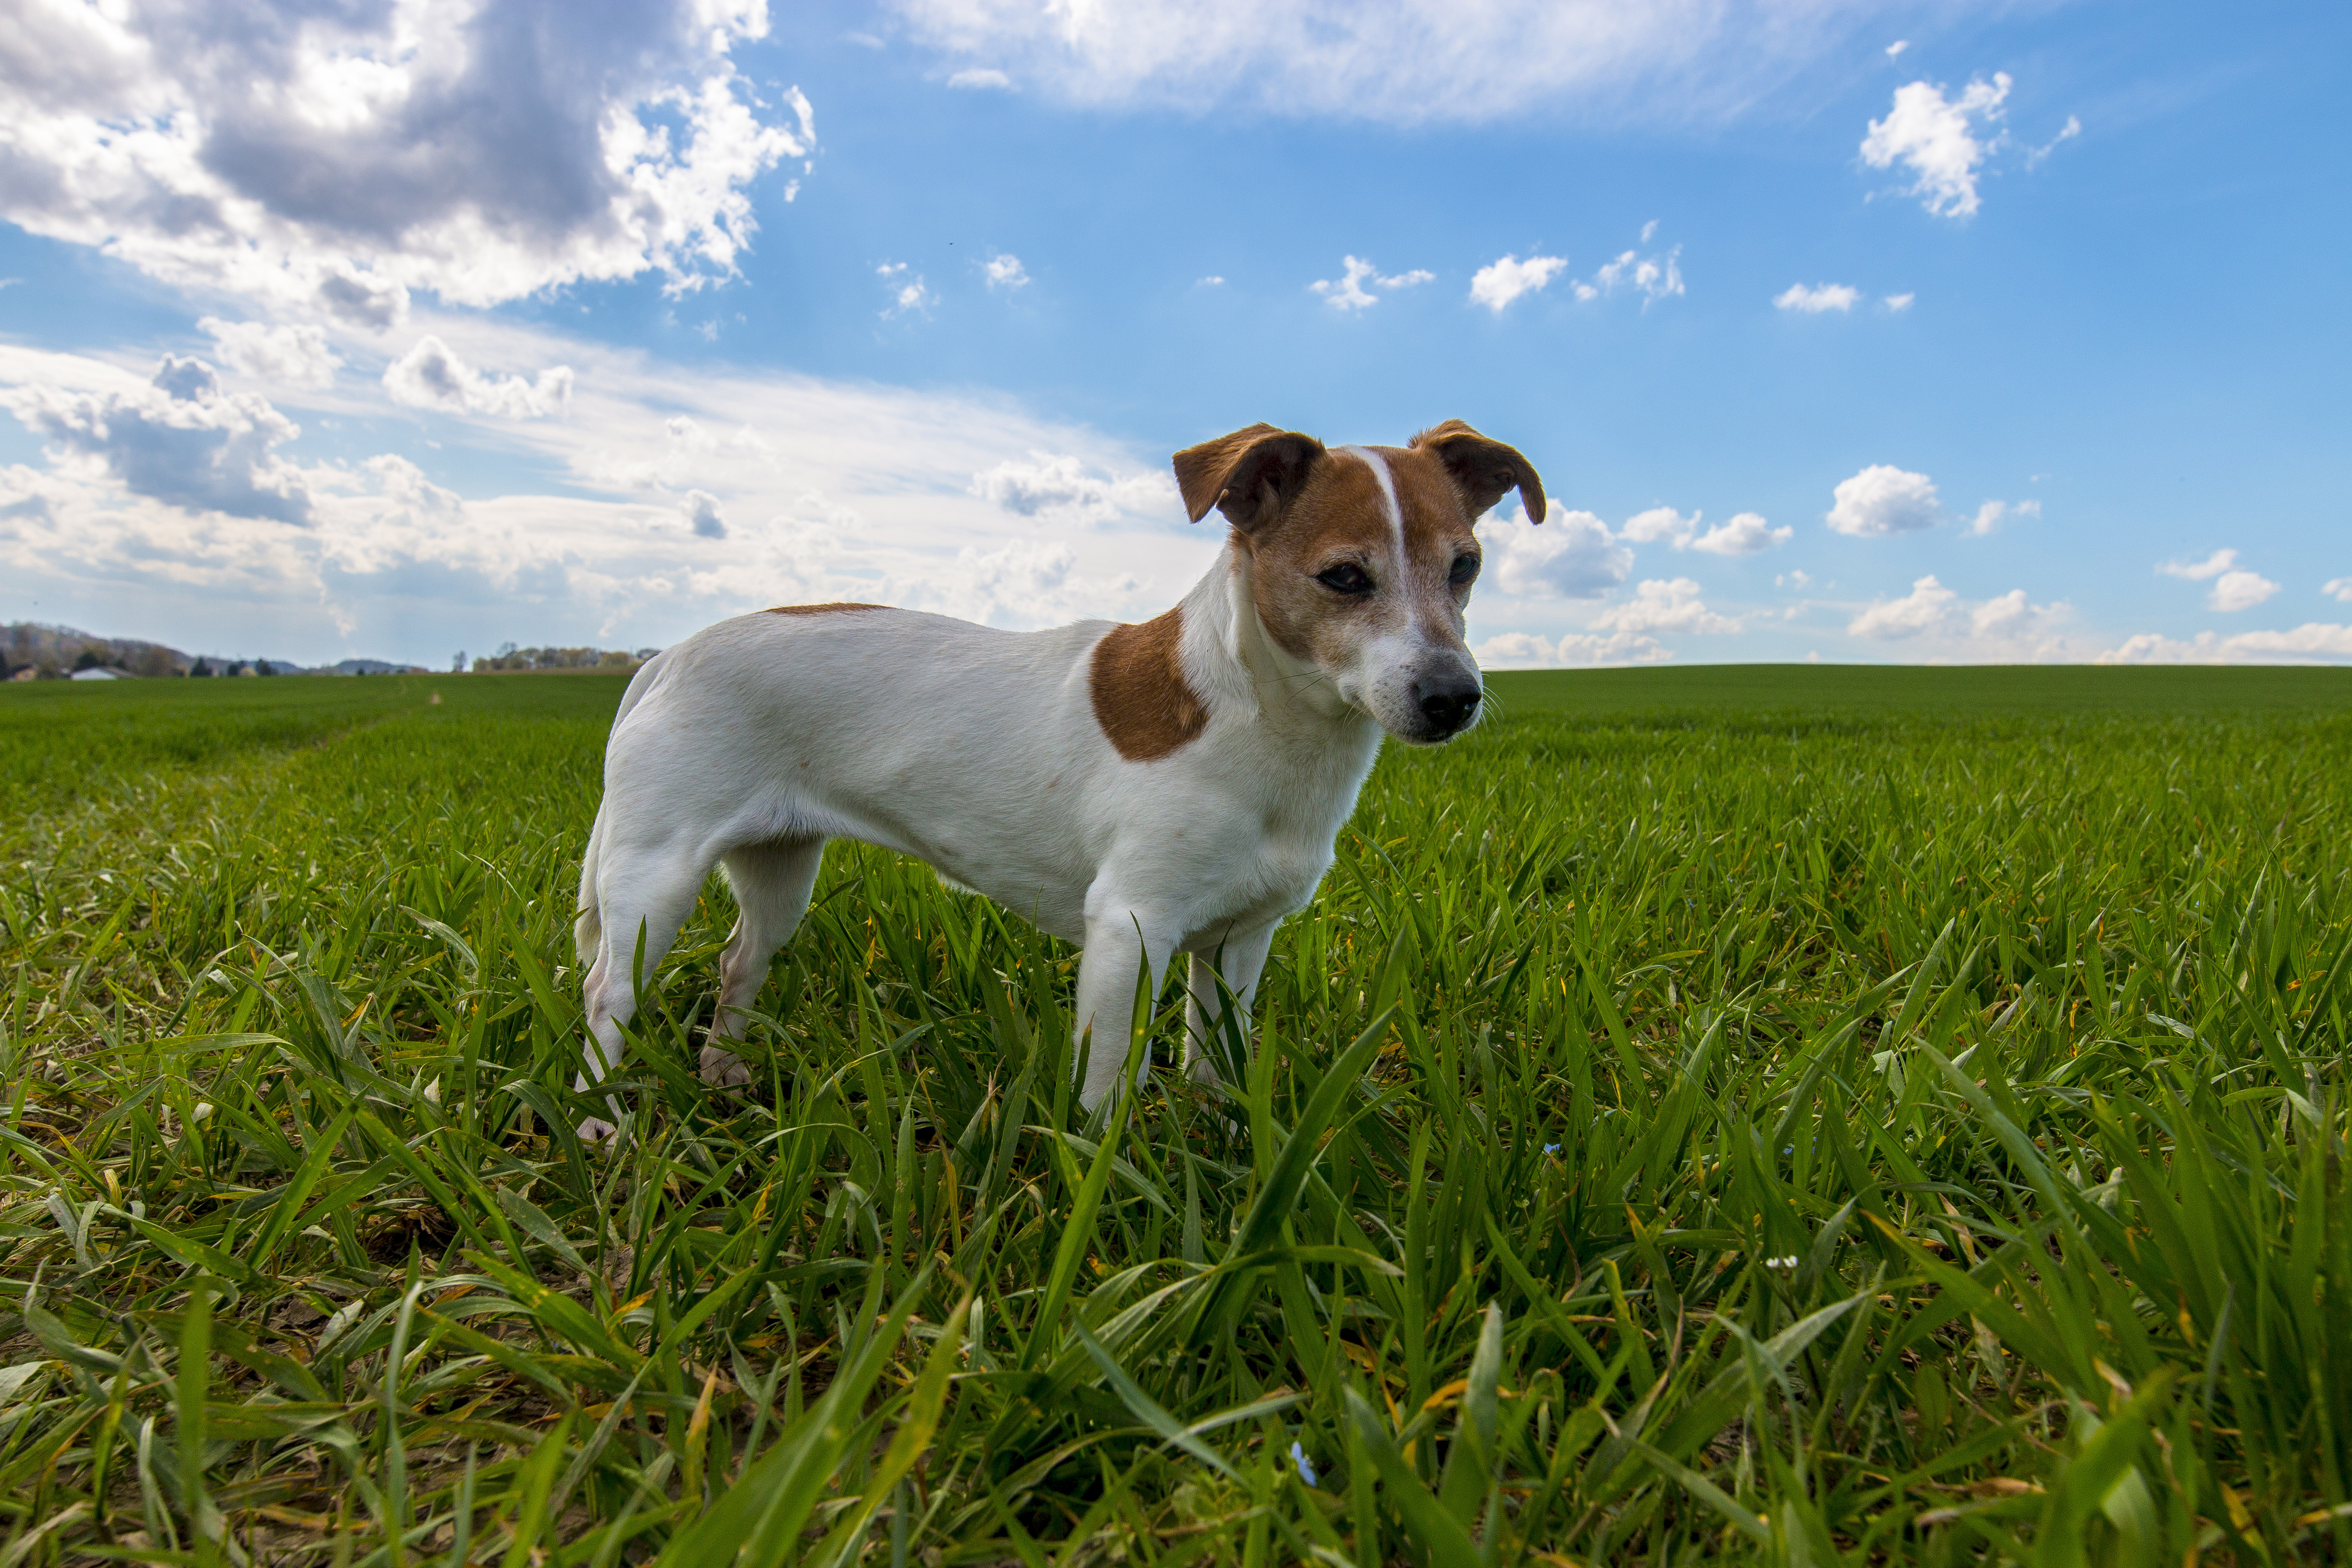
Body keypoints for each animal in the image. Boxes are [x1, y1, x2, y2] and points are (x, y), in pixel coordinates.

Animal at [567, 420, 1543, 1142]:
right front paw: (1107, 1187)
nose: (1454, 697)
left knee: (738, 961)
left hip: (780, 868)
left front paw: (1225, 1151)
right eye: (1343, 577)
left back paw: (722, 1071)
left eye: (1464, 567)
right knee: (608, 993)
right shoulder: (1130, 928)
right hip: (657, 877)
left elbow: (1215, 1064)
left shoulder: (1238, 941)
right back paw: (599, 1123)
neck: (1267, 726)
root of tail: (665, 658)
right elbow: (1106, 1086)